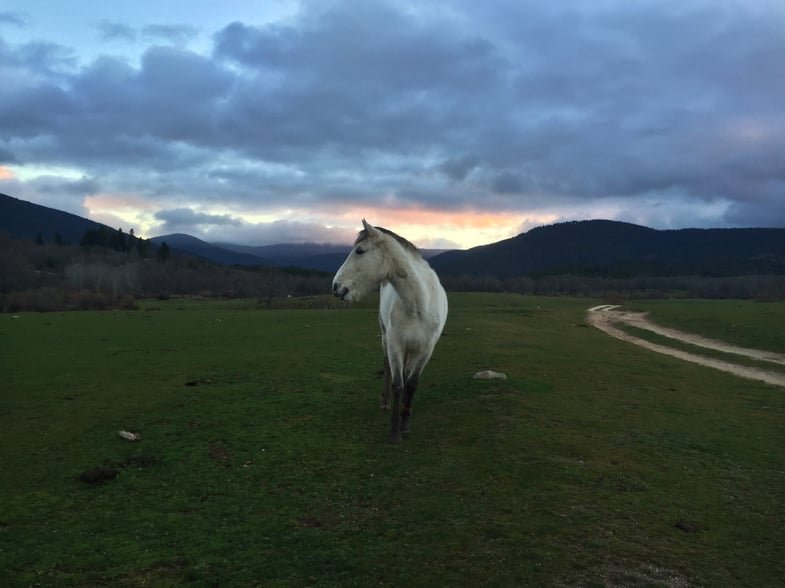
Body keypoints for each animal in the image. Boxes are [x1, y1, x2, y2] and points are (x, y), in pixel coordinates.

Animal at [330, 219, 448, 440]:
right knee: (387, 367)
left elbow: (411, 384)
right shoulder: (395, 345)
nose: (336, 287)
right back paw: (385, 402)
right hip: (385, 339)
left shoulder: (426, 350)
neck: (418, 305)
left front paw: (405, 423)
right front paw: (395, 432)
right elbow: (398, 384)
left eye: (360, 251)